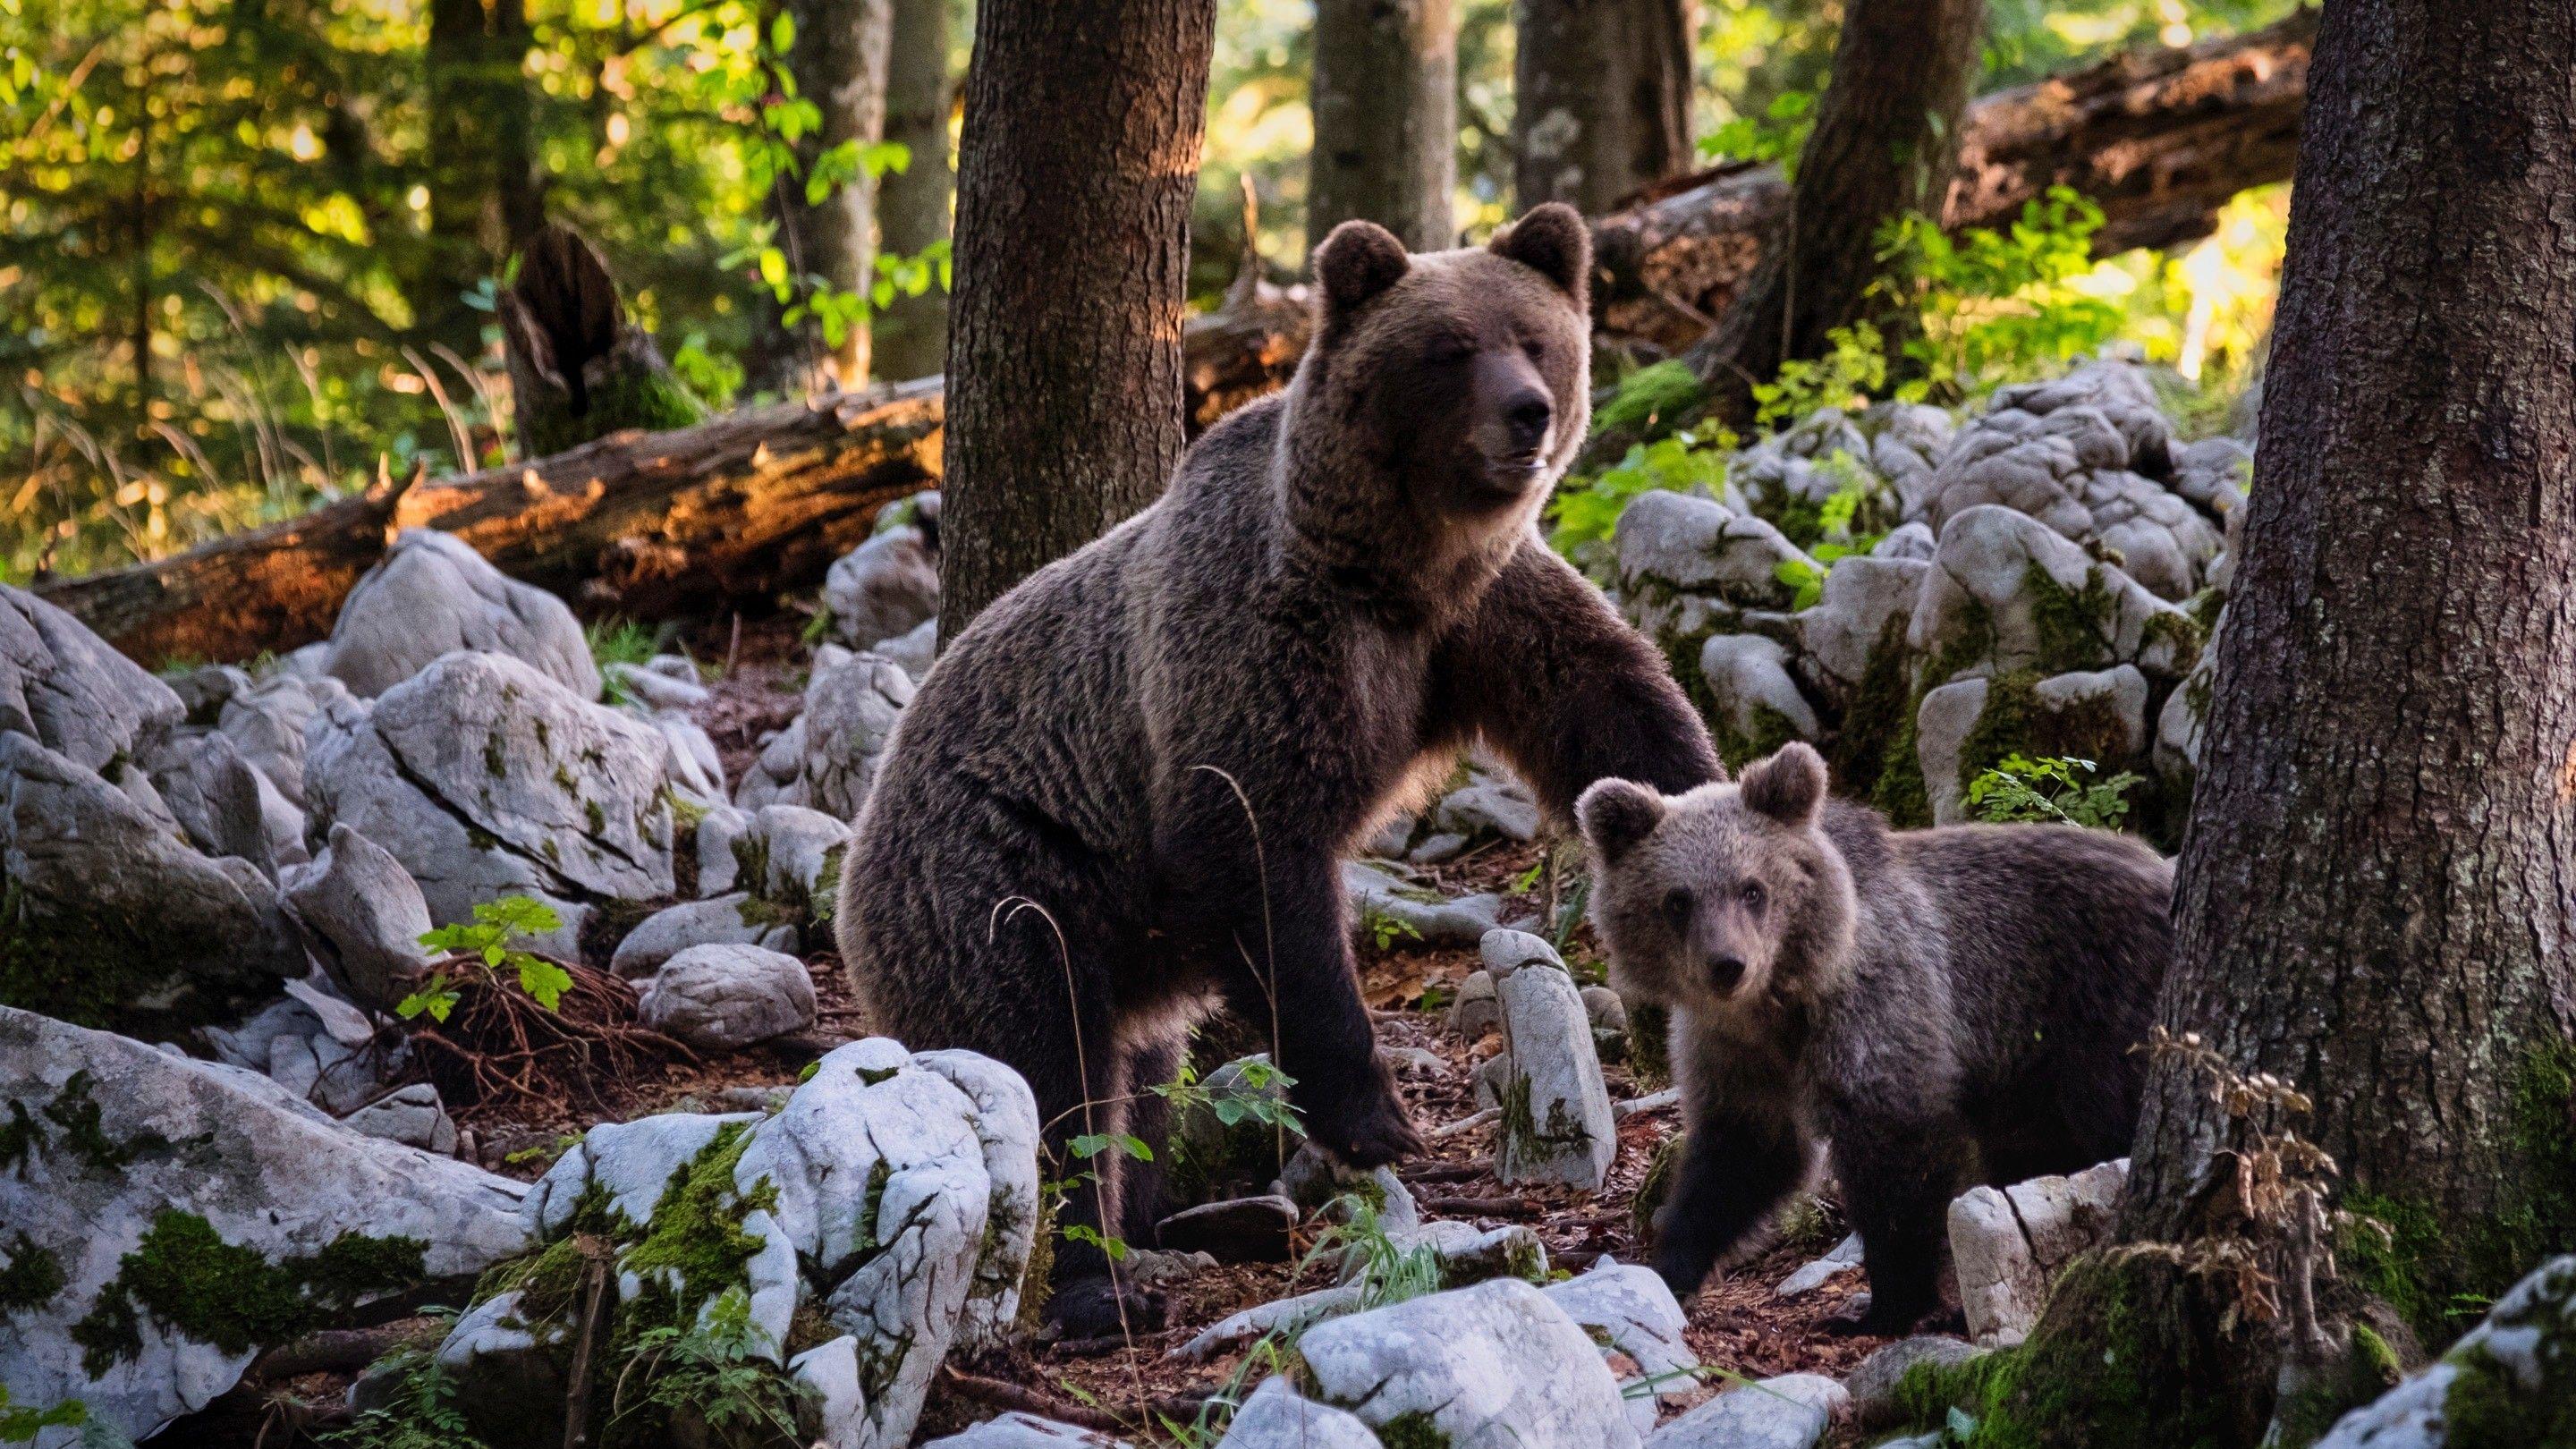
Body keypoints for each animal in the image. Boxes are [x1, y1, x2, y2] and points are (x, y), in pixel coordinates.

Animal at [836, 204, 1725, 1336]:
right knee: (1049, 1076)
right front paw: (1375, 1117)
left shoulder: (1480, 619)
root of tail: (862, 837)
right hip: (1004, 883)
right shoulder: (1258, 646)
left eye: (1535, 338)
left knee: (1138, 1081)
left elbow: (1609, 706)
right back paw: (1097, 1282)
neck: (1394, 569)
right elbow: (1257, 855)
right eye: (1449, 350)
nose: (1527, 413)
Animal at [1576, 741, 2170, 1335]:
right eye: (1678, 899)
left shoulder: (1879, 1008)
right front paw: (1668, 1269)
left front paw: (1881, 1305)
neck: (1780, 1004)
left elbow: (1895, 1153)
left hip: (2099, 1007)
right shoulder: (1734, 1052)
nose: (1727, 965)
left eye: (1752, 889)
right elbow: (1740, 1157)